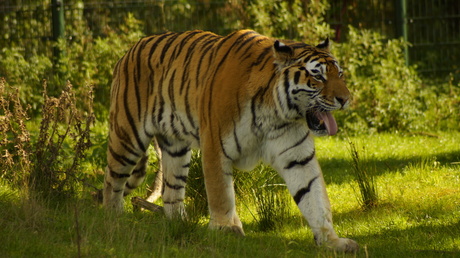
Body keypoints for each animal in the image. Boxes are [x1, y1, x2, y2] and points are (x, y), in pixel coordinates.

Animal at [104, 29, 360, 252]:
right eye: (318, 76)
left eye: (340, 74)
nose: (345, 99)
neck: (277, 110)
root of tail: (130, 50)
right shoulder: (214, 145)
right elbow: (221, 192)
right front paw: (226, 229)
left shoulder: (297, 157)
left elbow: (314, 196)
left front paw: (332, 241)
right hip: (127, 136)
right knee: (112, 180)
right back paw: (113, 217)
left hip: (175, 149)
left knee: (171, 190)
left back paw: (180, 223)